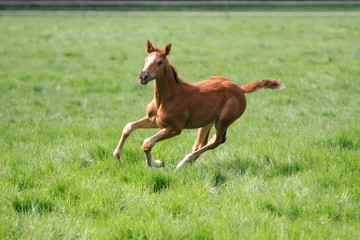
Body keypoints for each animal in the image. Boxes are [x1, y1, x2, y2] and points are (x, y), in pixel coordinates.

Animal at [112, 40, 284, 170]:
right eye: (145, 60)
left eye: (159, 62)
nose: (143, 76)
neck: (168, 97)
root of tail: (240, 89)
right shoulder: (154, 121)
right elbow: (128, 126)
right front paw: (118, 155)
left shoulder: (175, 128)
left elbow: (147, 143)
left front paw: (157, 163)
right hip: (207, 122)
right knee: (203, 142)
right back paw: (189, 162)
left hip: (223, 121)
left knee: (218, 140)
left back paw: (183, 163)